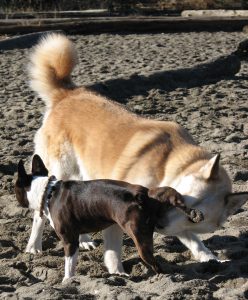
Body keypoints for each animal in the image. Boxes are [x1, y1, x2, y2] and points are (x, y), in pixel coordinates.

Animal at [14, 155, 202, 282]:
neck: (48, 192)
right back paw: (193, 214)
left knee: (156, 264)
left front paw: (68, 281)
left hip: (140, 238)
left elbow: (69, 263)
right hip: (157, 218)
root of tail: (144, 194)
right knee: (175, 200)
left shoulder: (69, 240)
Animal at [26, 34, 247, 276]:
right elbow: (114, 249)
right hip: (60, 170)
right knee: (39, 212)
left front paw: (212, 259)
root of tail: (67, 94)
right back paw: (34, 246)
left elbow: (194, 240)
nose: (158, 224)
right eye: (181, 199)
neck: (166, 165)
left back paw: (83, 239)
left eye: (196, 216)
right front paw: (118, 274)